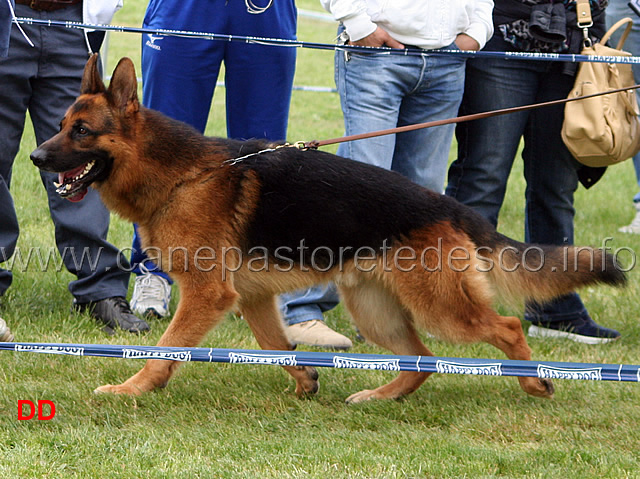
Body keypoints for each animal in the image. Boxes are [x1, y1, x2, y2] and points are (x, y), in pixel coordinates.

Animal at [31, 54, 624, 404]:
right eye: (60, 125)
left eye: (81, 131)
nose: (35, 157)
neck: (182, 175)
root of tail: (452, 209)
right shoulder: (251, 299)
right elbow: (276, 345)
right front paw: (305, 379)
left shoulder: (207, 295)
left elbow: (166, 349)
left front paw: (131, 389)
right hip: (377, 311)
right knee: (425, 358)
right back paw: (382, 397)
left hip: (442, 308)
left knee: (507, 327)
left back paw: (531, 380)